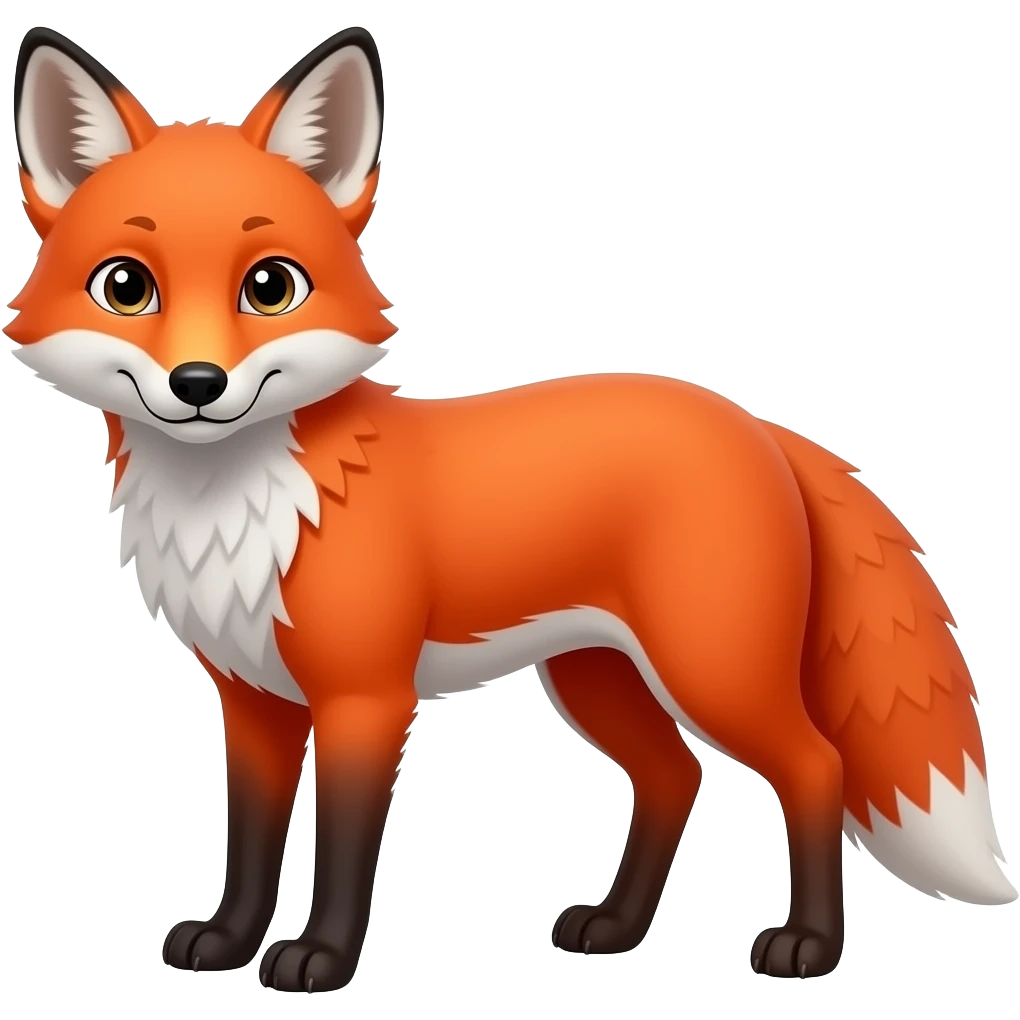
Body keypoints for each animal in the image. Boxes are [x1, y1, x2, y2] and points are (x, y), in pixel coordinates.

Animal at [5, 24, 1015, 994]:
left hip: (714, 668)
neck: (242, 508)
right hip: (596, 675)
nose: (198, 384)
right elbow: (250, 845)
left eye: (271, 286)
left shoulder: (367, 699)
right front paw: (226, 943)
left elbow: (342, 852)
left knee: (817, 768)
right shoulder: (254, 700)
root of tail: (756, 423)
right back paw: (615, 930)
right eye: (126, 286)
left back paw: (807, 945)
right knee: (674, 775)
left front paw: (320, 961)